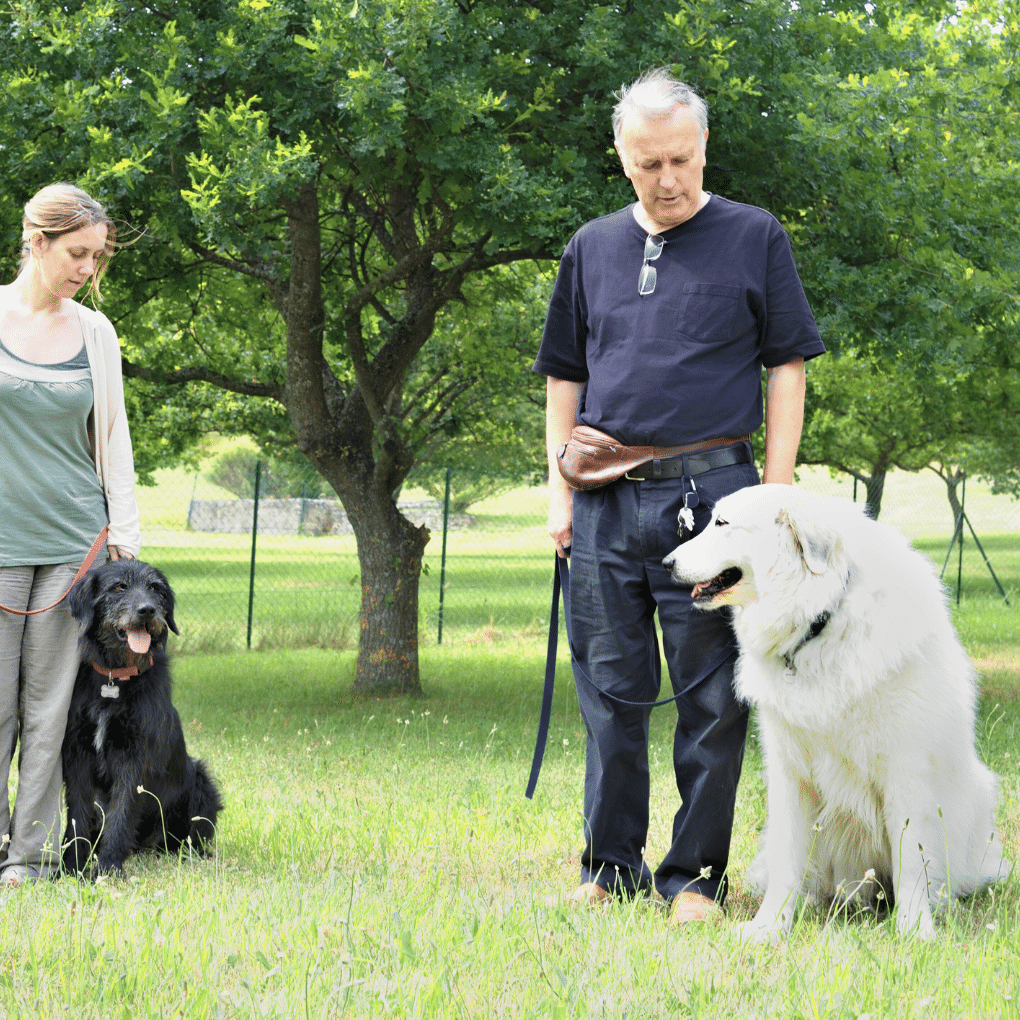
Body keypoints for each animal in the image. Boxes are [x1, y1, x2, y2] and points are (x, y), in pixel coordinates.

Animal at [60, 558, 222, 877]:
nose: (147, 610)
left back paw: (190, 854)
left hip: (201, 780)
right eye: (118, 587)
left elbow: (121, 814)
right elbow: (78, 815)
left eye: (155, 589)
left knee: (191, 836)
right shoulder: (77, 755)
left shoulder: (133, 758)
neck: (115, 678)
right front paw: (72, 867)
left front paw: (108, 868)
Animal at [665, 485, 1007, 938]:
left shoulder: (906, 771)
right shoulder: (789, 772)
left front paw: (914, 932)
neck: (821, 620)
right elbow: (787, 862)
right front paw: (768, 929)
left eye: (722, 524)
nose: (666, 564)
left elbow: (911, 861)